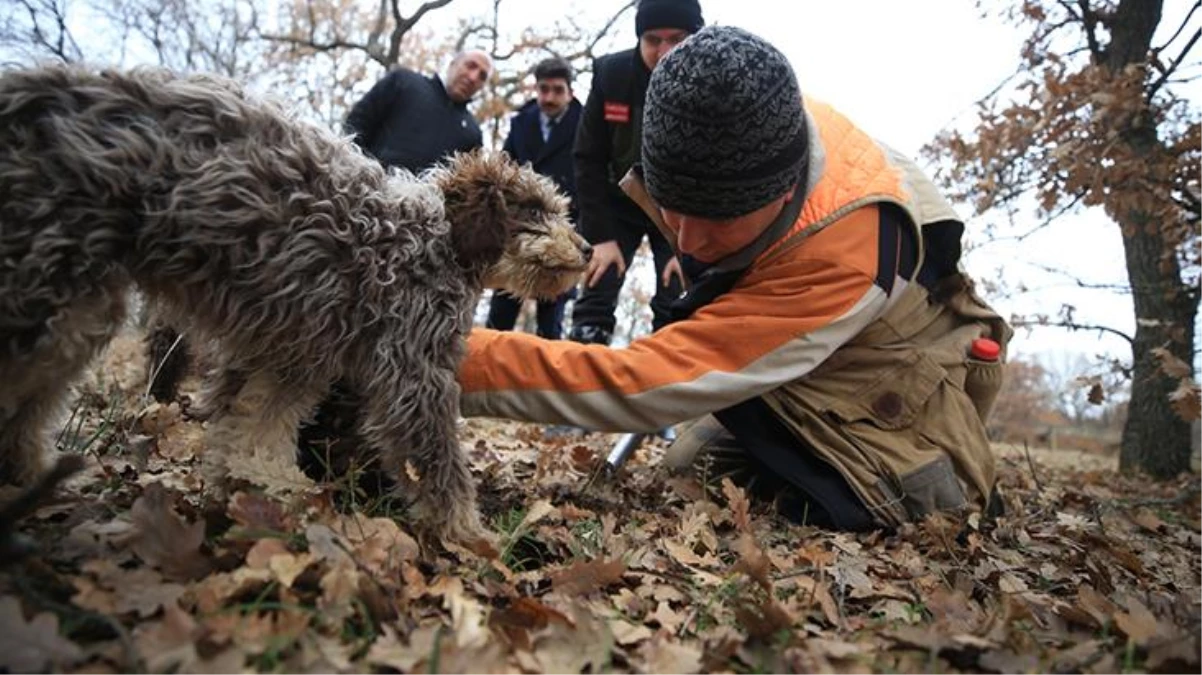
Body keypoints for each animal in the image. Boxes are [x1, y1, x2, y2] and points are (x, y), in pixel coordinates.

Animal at [0, 64, 591, 547]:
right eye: (532, 210)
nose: (588, 249)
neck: (436, 238)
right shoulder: (412, 370)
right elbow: (437, 462)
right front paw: (472, 536)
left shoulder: (295, 357)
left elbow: (255, 429)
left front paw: (259, 489)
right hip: (49, 291)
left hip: (77, 309)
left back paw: (34, 475)